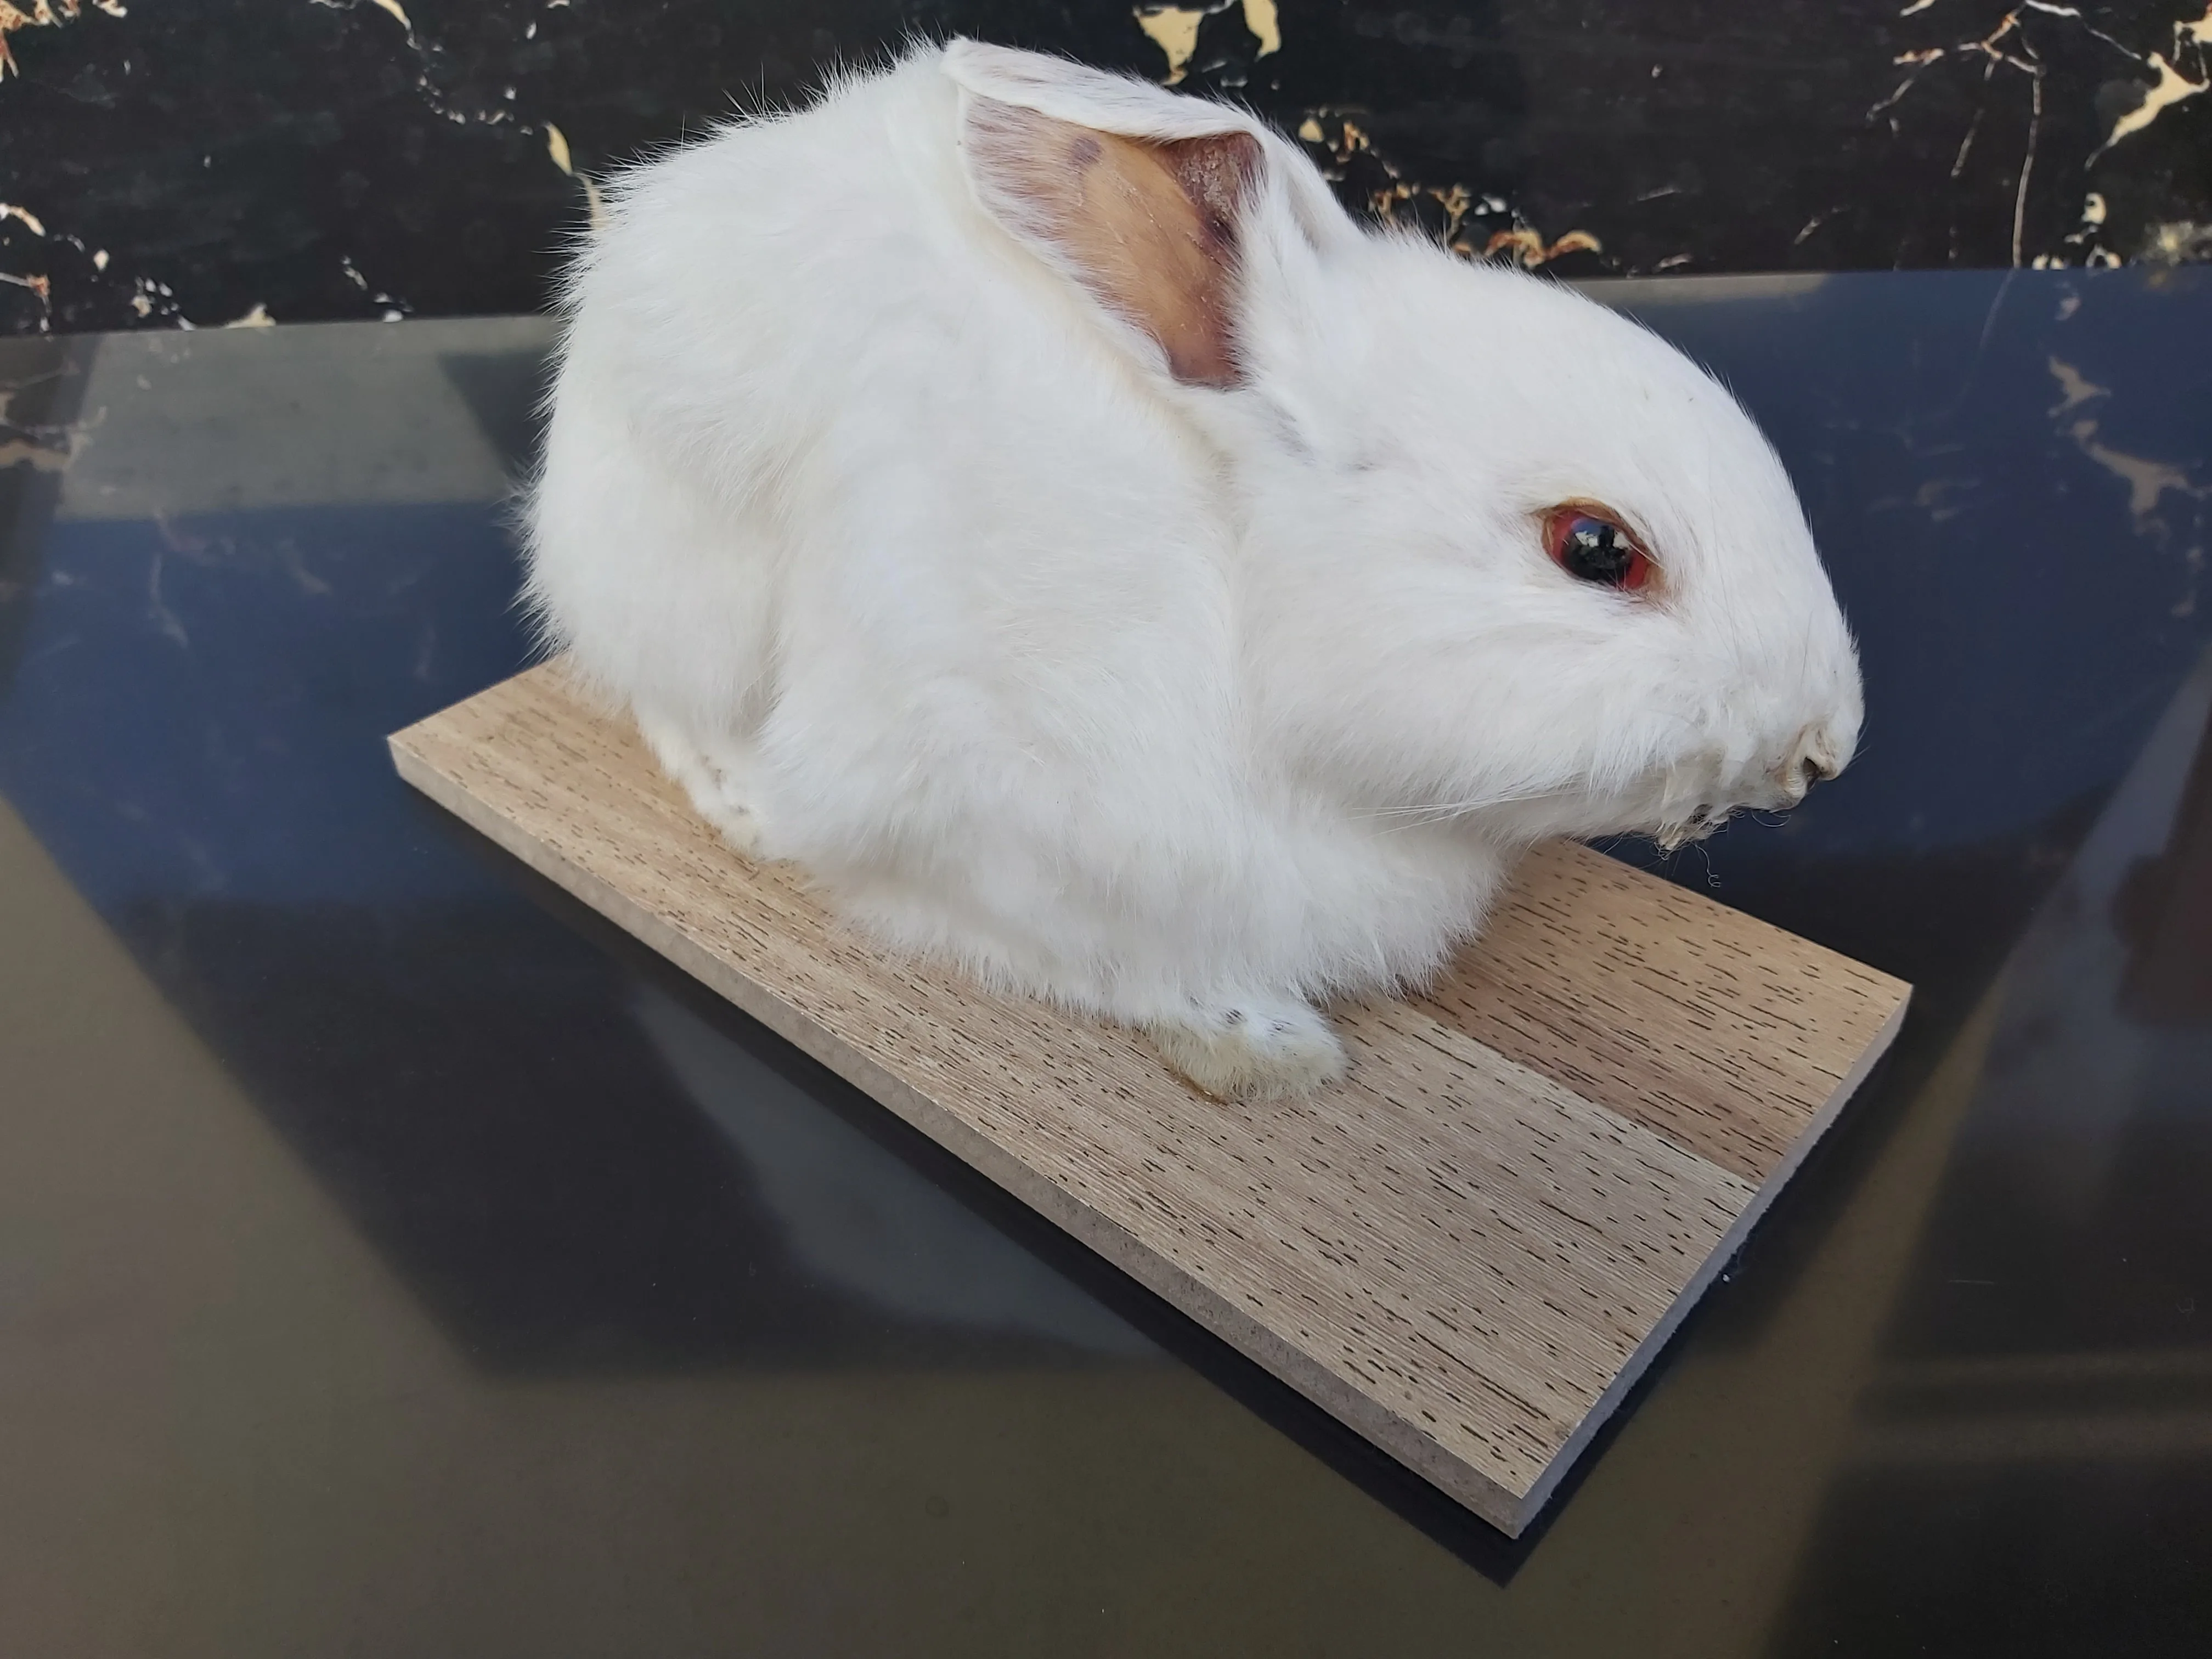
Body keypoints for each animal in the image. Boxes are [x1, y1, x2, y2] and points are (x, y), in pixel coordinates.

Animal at [524, 40, 1863, 1101]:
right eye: (1595, 547)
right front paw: (1265, 1049)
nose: (1826, 747)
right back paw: (744, 804)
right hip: (686, 569)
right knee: (668, 703)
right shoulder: (978, 816)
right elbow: (1089, 958)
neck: (1237, 611)